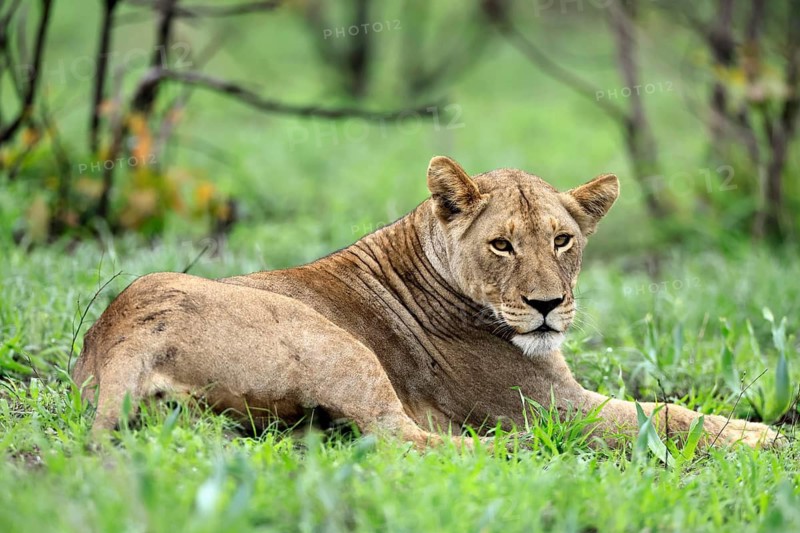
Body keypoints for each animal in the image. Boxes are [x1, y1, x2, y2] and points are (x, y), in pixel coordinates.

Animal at [72, 156, 781, 450]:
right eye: (501, 245)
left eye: (563, 240)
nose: (548, 304)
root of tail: (121, 331)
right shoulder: (547, 405)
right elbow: (662, 415)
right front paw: (765, 440)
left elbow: (664, 408)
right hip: (339, 346)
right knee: (404, 441)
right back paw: (514, 456)